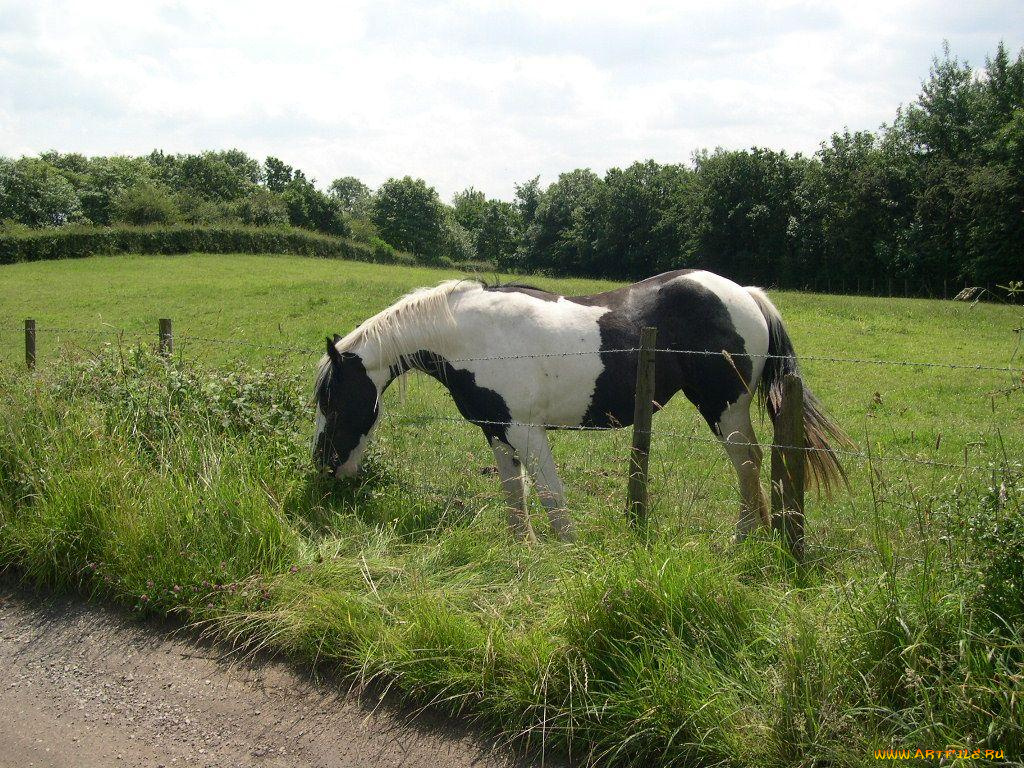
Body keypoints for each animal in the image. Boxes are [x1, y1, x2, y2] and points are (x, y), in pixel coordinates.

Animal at [311, 270, 847, 548]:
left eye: (333, 404)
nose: (325, 470)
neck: (471, 336)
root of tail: (746, 295)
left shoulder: (526, 431)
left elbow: (550, 495)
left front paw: (566, 554)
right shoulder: (497, 431)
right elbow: (514, 494)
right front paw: (522, 549)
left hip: (725, 410)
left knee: (748, 464)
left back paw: (741, 540)